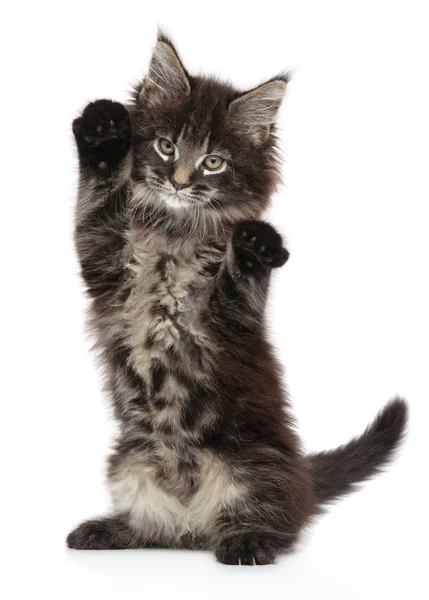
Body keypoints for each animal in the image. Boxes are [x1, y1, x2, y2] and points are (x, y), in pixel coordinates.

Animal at [66, 31, 404, 568]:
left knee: (272, 522)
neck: (174, 236)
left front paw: (254, 247)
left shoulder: (226, 320)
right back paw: (110, 529)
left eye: (213, 161)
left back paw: (248, 542)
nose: (181, 181)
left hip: (252, 463)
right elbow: (95, 203)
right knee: (159, 530)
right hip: (131, 462)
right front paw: (101, 134)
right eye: (166, 146)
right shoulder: (104, 264)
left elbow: (237, 285)